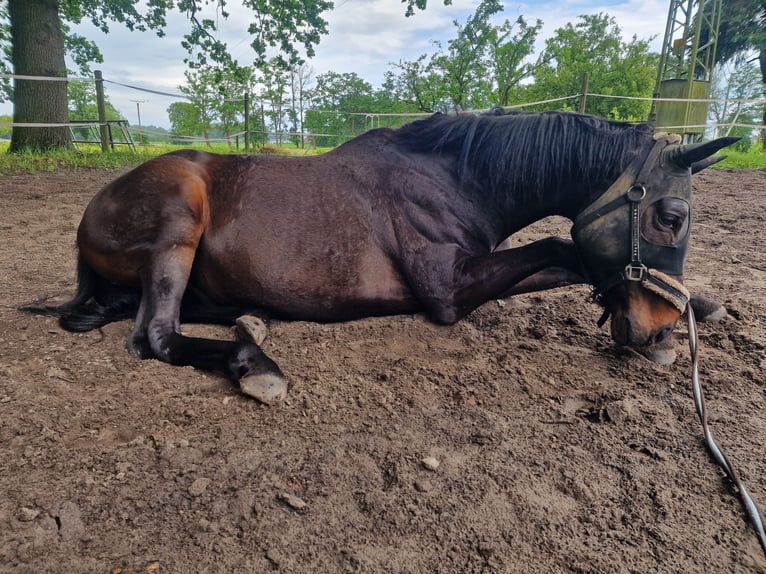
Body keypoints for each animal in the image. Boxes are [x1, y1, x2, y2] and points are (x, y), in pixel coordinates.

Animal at [26, 110, 737, 402]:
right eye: (671, 217)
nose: (654, 332)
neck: (455, 177)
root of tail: (95, 206)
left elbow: (567, 258)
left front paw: (696, 307)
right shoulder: (450, 289)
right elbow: (563, 245)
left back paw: (251, 324)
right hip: (179, 221)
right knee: (155, 335)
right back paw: (256, 365)